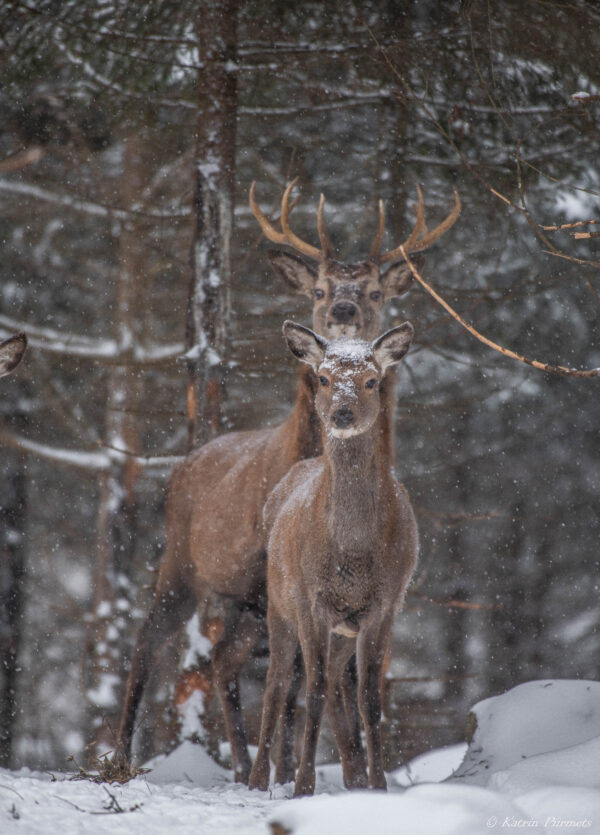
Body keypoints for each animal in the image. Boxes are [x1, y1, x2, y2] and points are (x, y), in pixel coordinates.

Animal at [248, 320, 418, 796]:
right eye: (323, 378)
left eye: (372, 380)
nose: (342, 414)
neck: (354, 556)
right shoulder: (312, 601)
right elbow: (315, 689)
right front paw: (304, 785)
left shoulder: (384, 606)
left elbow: (370, 698)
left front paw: (378, 783)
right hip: (278, 603)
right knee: (277, 684)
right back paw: (256, 779)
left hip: (344, 628)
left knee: (341, 684)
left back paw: (353, 774)